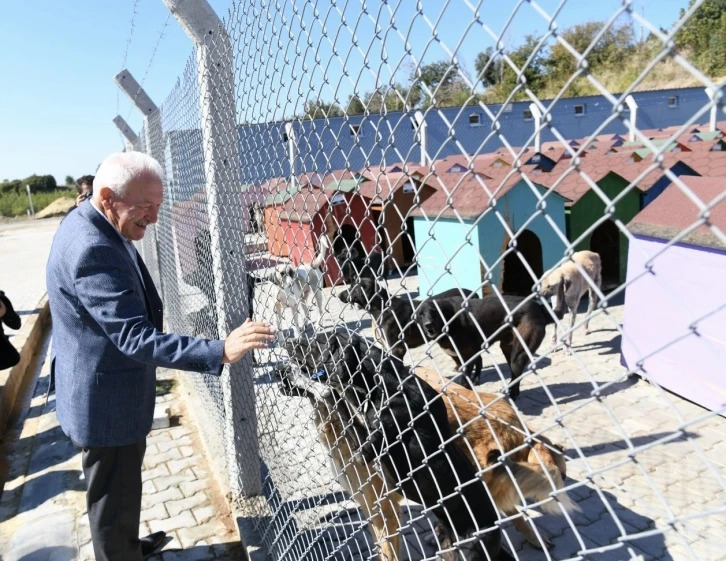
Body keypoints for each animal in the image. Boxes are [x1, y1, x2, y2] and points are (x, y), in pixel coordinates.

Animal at [282, 328, 512, 560]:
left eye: (317, 341)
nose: (287, 341)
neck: (384, 385)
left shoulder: (365, 453)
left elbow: (330, 394)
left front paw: (301, 377)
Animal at [416, 276, 568, 398]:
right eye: (421, 315)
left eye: (434, 312)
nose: (428, 325)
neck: (448, 320)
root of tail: (539, 308)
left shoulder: (469, 355)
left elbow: (464, 380)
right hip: (507, 349)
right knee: (514, 374)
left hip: (519, 354)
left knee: (516, 374)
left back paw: (512, 396)